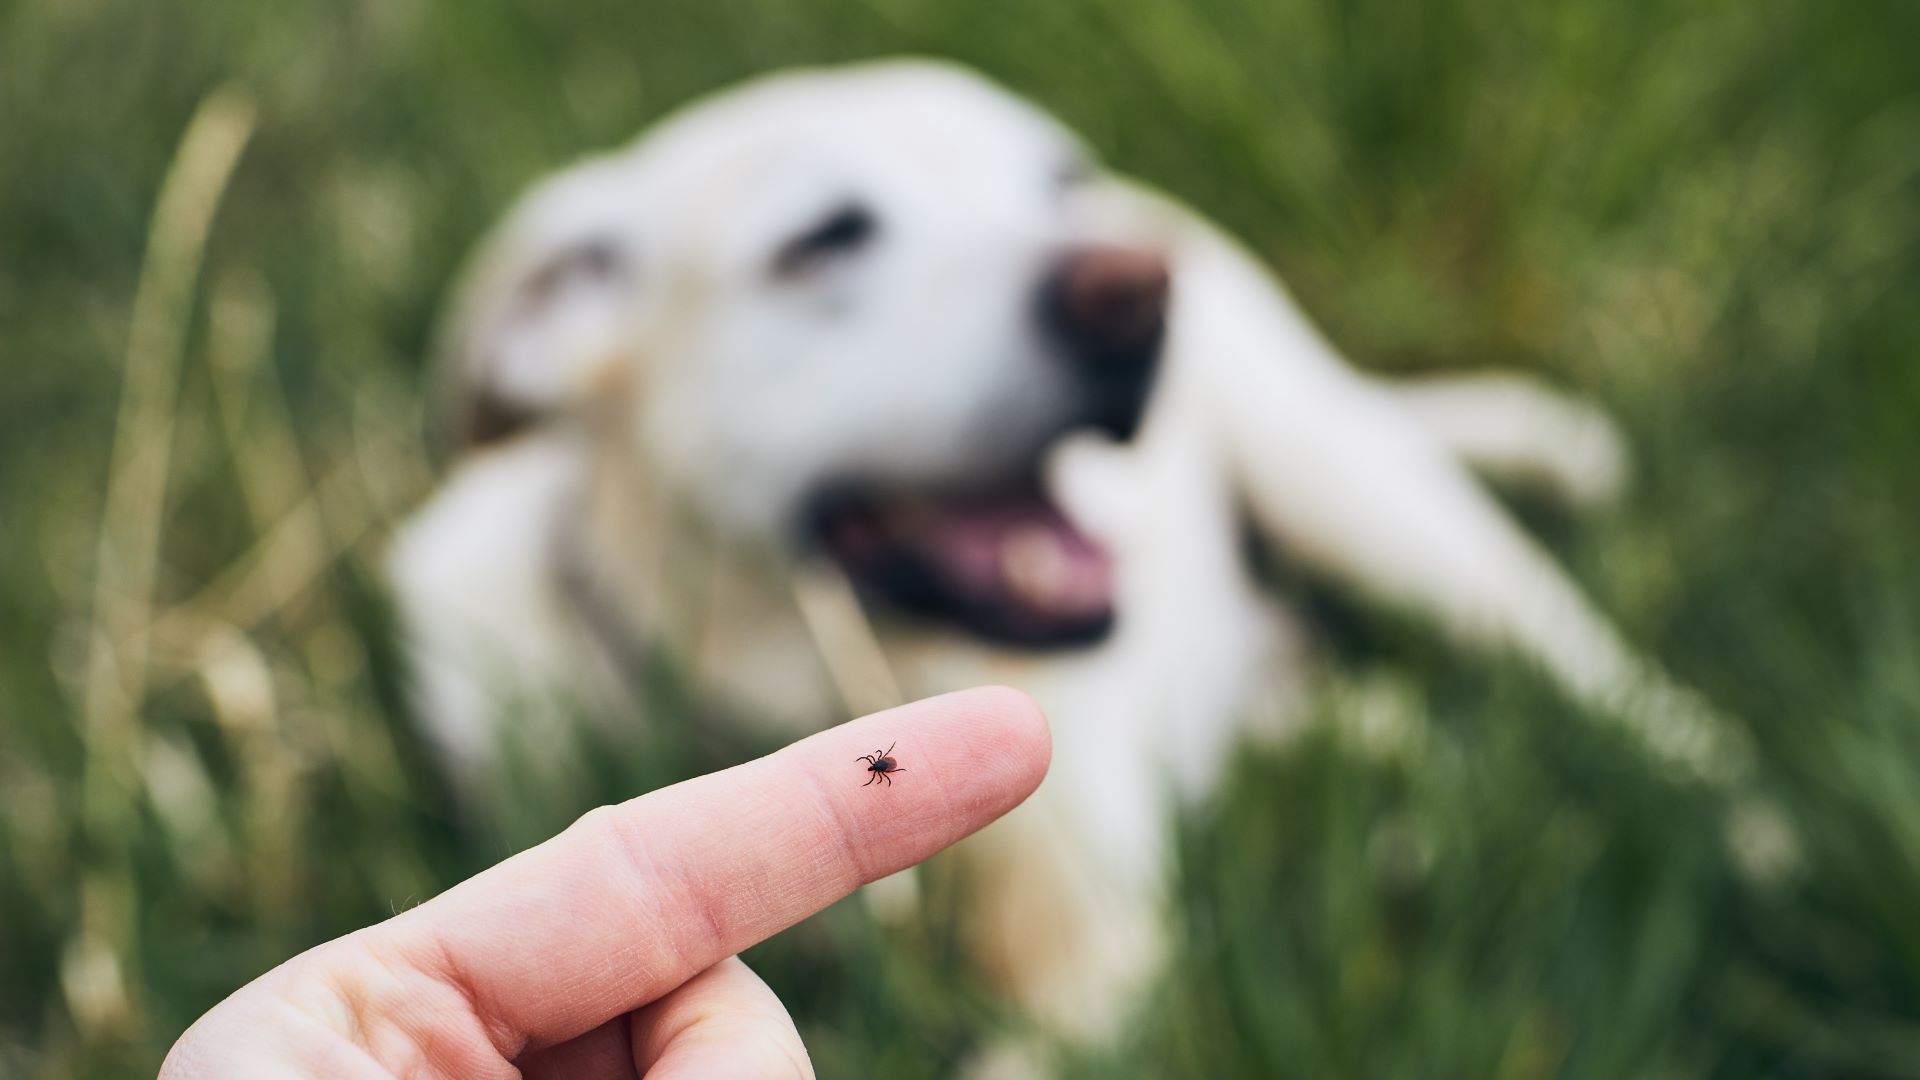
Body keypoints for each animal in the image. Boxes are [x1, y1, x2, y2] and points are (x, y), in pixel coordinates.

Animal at [389, 56, 1743, 1045]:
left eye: (1055, 183)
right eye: (823, 239)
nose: (1136, 292)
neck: (807, 684)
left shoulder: (1096, 963)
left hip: (1364, 500)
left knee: (1610, 685)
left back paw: (1746, 828)